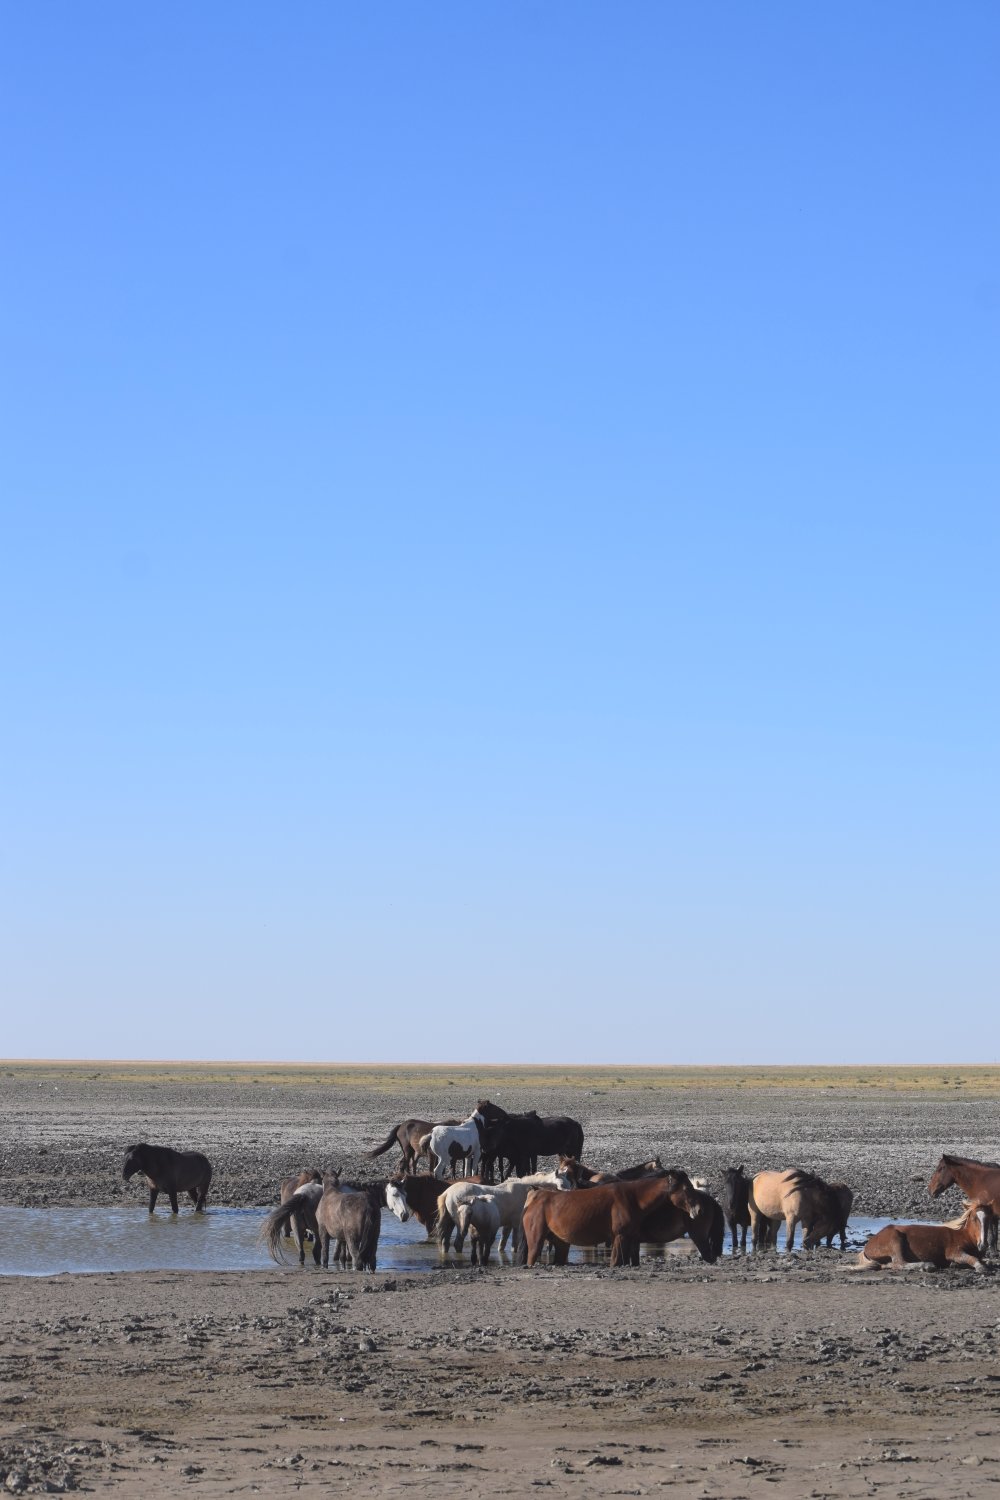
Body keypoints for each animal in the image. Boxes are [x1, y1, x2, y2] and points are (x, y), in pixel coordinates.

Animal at [521, 1170, 704, 1268]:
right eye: (686, 1188)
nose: (698, 1209)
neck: (632, 1198)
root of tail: (535, 1194)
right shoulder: (619, 1237)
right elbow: (615, 1262)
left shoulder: (628, 1239)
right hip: (536, 1242)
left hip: (560, 1243)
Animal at [852, 1206, 992, 1272]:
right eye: (974, 1218)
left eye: (989, 1219)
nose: (983, 1244)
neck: (963, 1236)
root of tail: (868, 1245)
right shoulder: (954, 1252)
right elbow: (972, 1259)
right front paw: (980, 1267)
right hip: (895, 1240)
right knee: (900, 1263)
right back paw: (927, 1265)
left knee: (889, 1265)